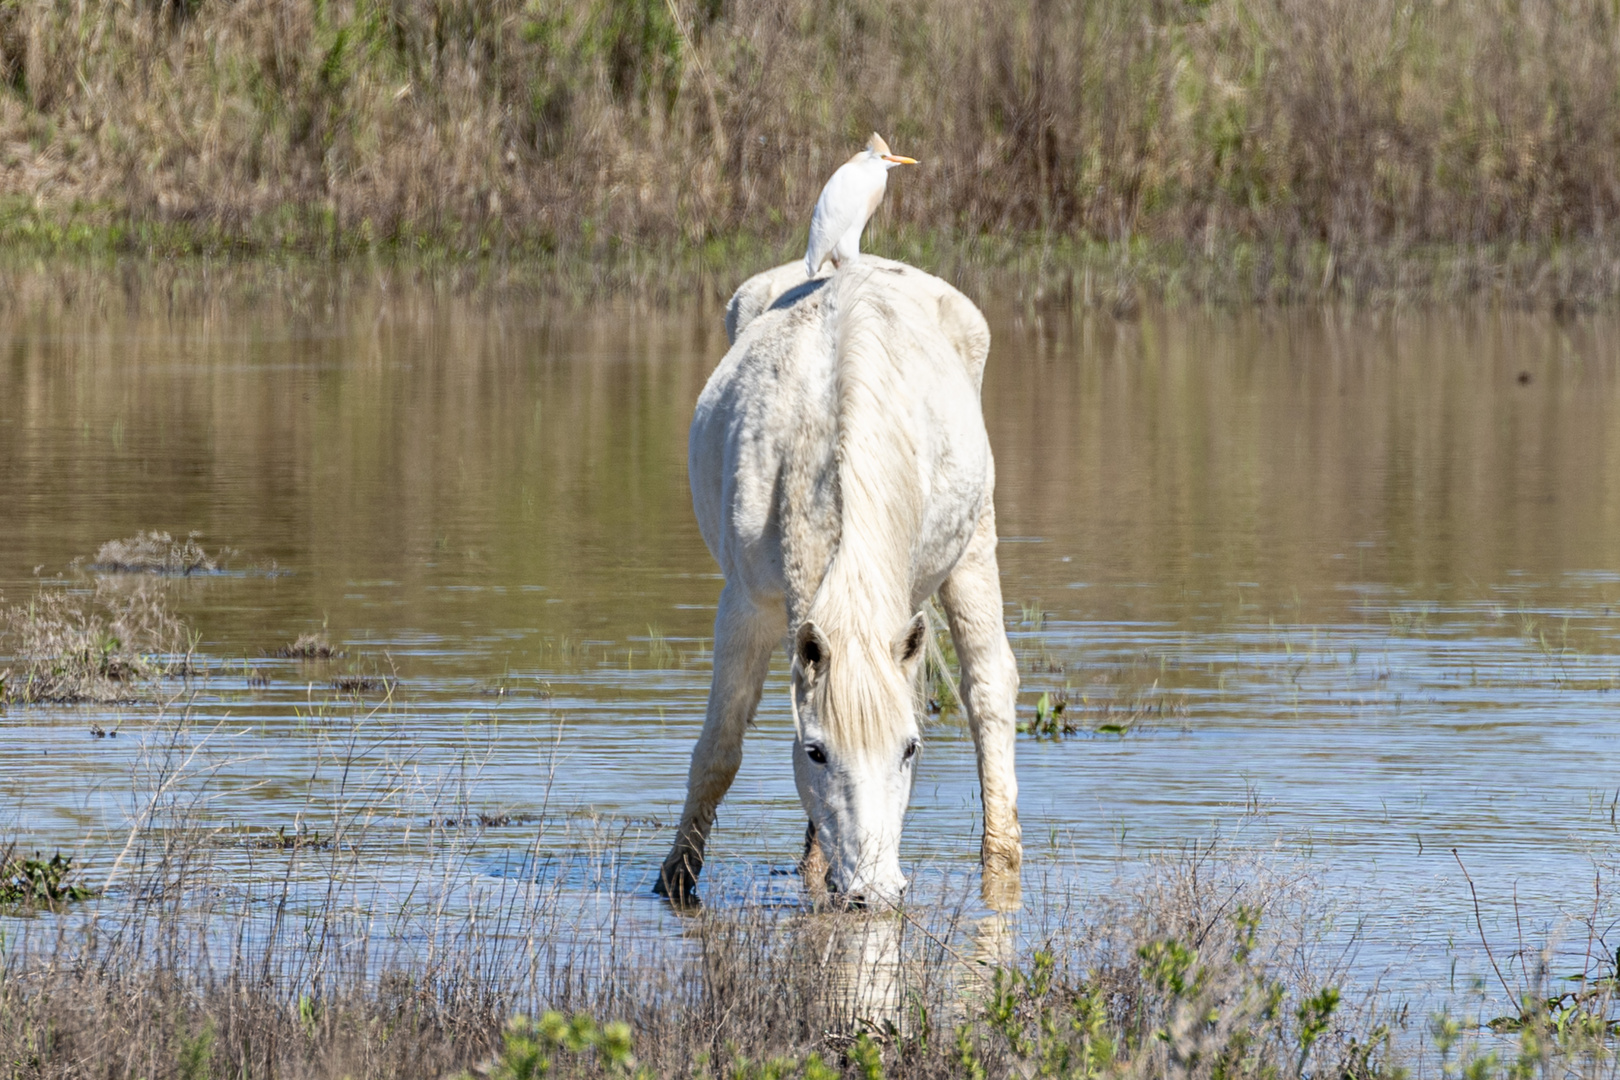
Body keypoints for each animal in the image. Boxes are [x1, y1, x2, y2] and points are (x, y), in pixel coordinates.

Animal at [651, 259, 1017, 906]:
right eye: (816, 753)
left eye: (910, 749)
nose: (873, 893)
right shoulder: (746, 606)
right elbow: (719, 745)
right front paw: (676, 876)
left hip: (973, 548)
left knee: (989, 691)